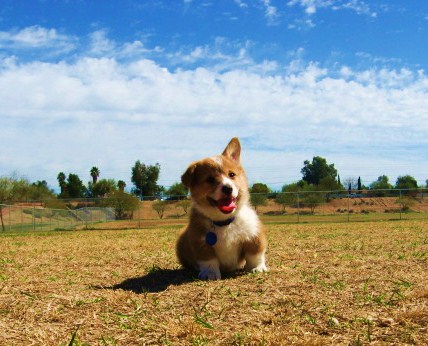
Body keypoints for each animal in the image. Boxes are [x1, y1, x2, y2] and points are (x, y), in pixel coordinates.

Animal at [176, 137, 266, 280]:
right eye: (210, 179)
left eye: (232, 174)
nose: (227, 188)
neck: (224, 221)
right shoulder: (201, 242)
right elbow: (209, 260)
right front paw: (210, 274)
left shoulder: (253, 234)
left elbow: (255, 254)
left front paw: (257, 268)